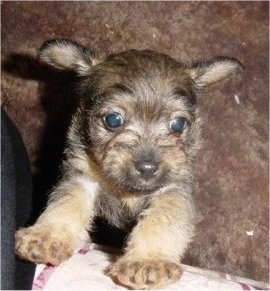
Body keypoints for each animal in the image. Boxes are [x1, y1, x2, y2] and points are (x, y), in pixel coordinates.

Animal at [14, 38, 243, 290]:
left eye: (178, 124)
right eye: (113, 120)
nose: (147, 168)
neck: (128, 190)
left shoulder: (173, 189)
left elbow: (162, 219)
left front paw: (148, 261)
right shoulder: (83, 178)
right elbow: (66, 204)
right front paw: (47, 236)